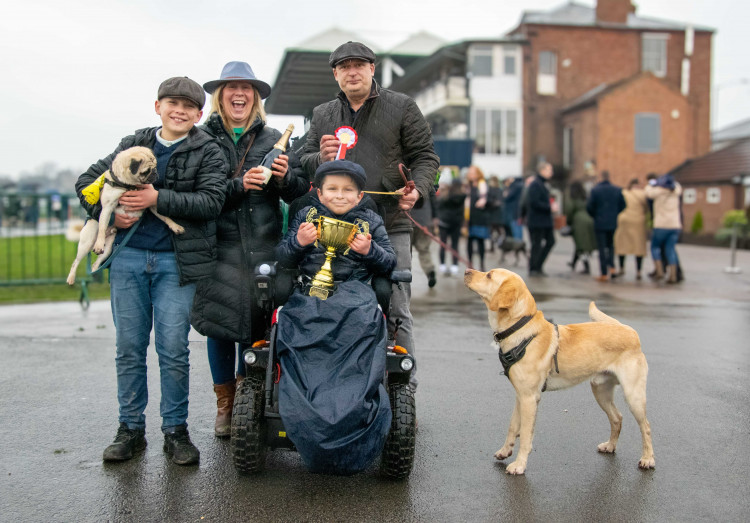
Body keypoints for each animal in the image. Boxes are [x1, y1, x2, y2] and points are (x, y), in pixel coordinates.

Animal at [67, 145, 185, 284]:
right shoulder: (107, 208)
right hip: (87, 242)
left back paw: (95, 270)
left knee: (96, 263)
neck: (129, 185)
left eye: (155, 166)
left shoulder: (151, 203)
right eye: (146, 171)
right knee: (75, 261)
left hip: (108, 249)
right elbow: (102, 227)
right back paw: (71, 278)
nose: (155, 172)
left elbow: (166, 218)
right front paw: (99, 243)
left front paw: (175, 227)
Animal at [468, 268, 656, 476]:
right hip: (601, 391)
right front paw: (505, 451)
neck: (520, 329)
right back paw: (610, 446)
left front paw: (519, 464)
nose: (467, 271)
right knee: (617, 418)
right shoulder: (520, 395)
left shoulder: (529, 398)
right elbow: (513, 426)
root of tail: (629, 330)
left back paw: (648, 459)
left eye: (489, 275)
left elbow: (525, 435)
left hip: (633, 395)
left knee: (646, 426)